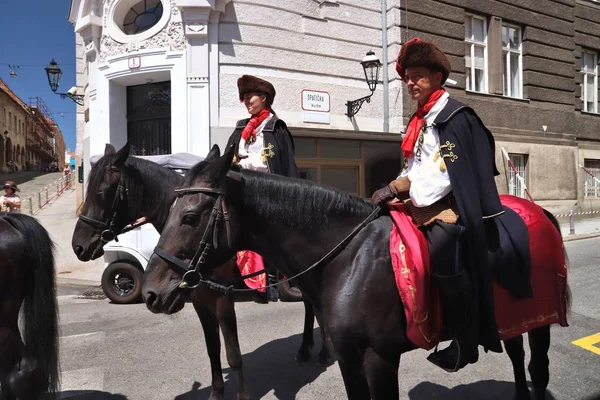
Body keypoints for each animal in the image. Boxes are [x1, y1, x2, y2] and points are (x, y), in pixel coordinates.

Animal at [72, 144, 330, 400]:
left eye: (101, 193)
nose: (78, 246)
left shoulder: (222, 298)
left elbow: (233, 355)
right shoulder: (199, 300)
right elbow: (212, 349)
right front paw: (216, 393)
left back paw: (321, 351)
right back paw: (308, 348)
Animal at [143, 145, 568, 400]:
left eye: (190, 216)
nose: (151, 292)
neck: (350, 260)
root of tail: (540, 212)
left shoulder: (380, 359)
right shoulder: (349, 358)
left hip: (542, 319)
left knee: (538, 367)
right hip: (509, 317)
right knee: (517, 357)